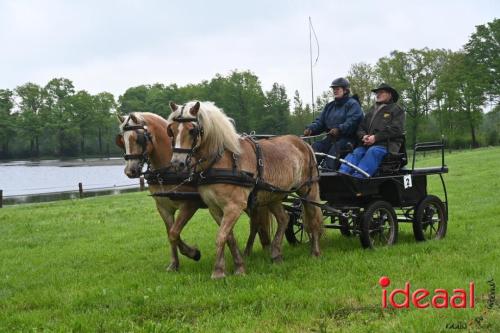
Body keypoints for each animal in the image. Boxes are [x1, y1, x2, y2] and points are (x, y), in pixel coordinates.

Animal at [115, 111, 272, 270]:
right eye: (122, 140)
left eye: (139, 138)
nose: (130, 171)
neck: (169, 169)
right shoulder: (163, 207)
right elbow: (171, 234)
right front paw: (174, 264)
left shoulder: (190, 205)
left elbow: (174, 232)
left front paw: (193, 253)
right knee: (256, 223)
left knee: (256, 224)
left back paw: (257, 250)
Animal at [168, 100, 324, 278]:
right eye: (171, 130)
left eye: (192, 130)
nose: (177, 163)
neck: (221, 161)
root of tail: (303, 143)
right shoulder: (215, 208)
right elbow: (229, 237)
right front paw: (239, 266)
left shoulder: (234, 206)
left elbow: (221, 236)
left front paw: (218, 271)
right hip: (273, 195)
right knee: (284, 218)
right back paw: (276, 254)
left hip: (308, 190)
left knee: (313, 219)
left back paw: (315, 252)